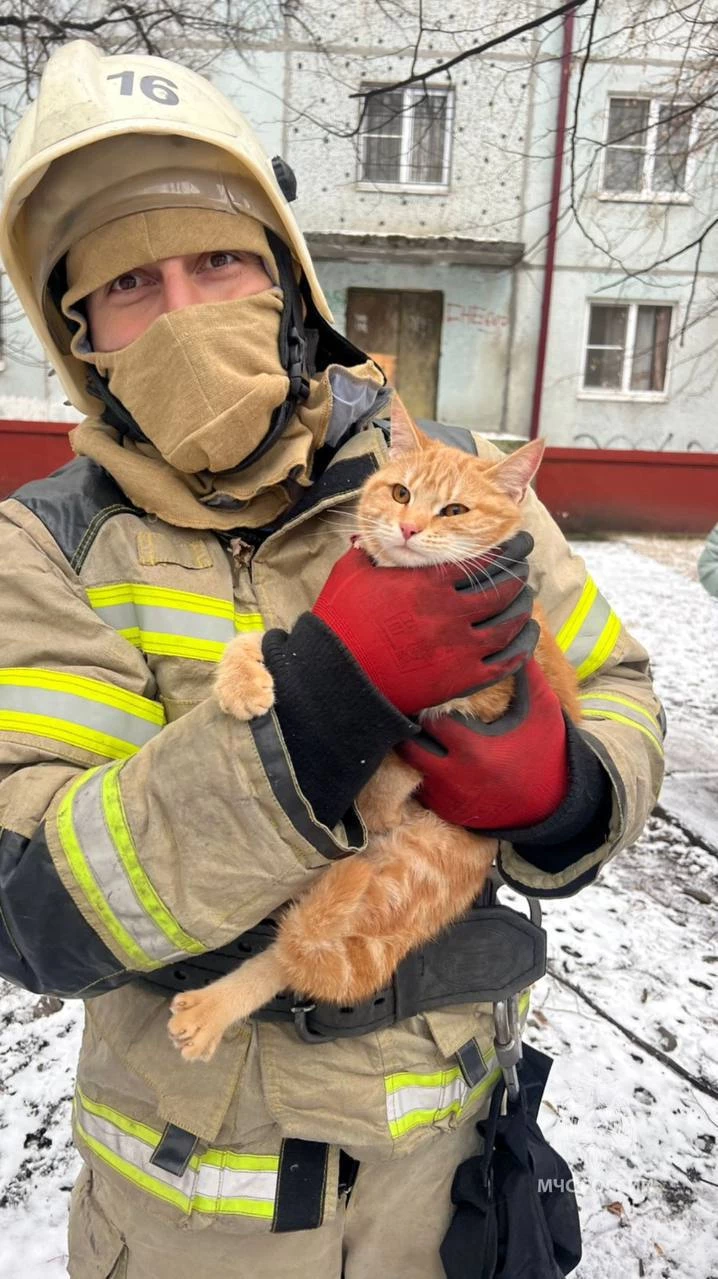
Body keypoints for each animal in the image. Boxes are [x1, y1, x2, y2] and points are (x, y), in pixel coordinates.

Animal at [166, 396, 575, 1059]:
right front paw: (242, 681)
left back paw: (211, 1009)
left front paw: (381, 795)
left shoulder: (482, 703)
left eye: (455, 509)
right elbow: (269, 641)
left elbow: (408, 741)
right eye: (401, 492)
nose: (409, 528)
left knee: (296, 954)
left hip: (397, 880)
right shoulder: (326, 637)